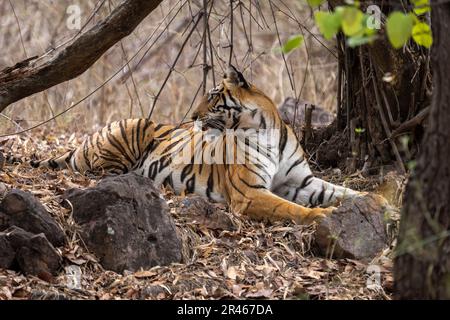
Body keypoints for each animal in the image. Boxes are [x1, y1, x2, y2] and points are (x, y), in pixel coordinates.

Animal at [29, 65, 364, 225]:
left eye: (213, 97)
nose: (191, 116)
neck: (265, 130)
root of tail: (88, 141)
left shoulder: (302, 181)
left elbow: (343, 191)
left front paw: (373, 201)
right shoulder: (250, 193)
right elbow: (291, 208)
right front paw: (321, 216)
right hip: (130, 128)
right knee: (100, 171)